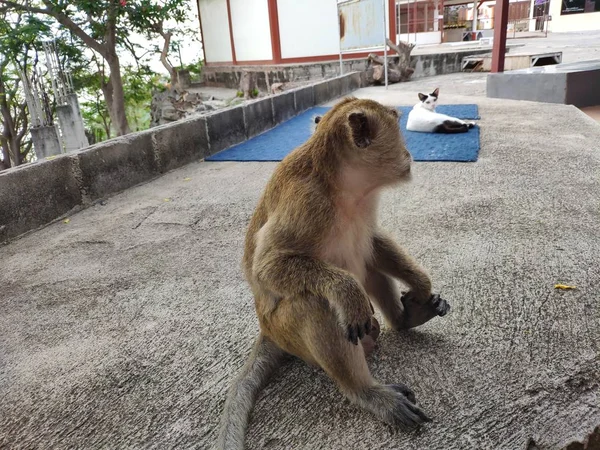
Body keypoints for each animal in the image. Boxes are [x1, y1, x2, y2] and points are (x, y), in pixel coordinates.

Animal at [217, 96, 450, 448]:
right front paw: (347, 291)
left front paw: (421, 283)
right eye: (397, 127)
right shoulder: (307, 204)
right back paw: (367, 392)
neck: (341, 184)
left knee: (365, 259)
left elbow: (372, 242)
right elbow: (266, 267)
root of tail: (266, 329)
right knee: (314, 304)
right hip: (285, 330)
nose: (408, 155)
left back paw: (404, 320)